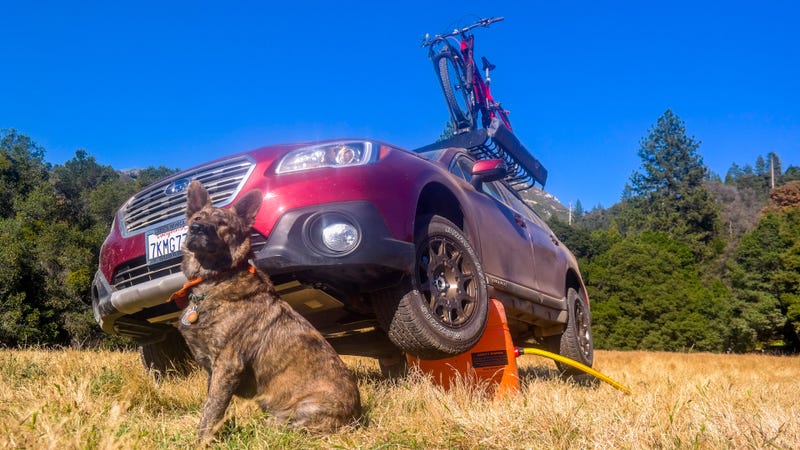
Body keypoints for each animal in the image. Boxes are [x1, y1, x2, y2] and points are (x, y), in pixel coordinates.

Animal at [177, 180, 362, 442]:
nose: (196, 228)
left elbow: (211, 410)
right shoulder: (213, 370)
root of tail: (356, 416)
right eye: (197, 217)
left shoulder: (228, 365)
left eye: (223, 223)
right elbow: (211, 405)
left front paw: (202, 442)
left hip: (301, 411)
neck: (215, 279)